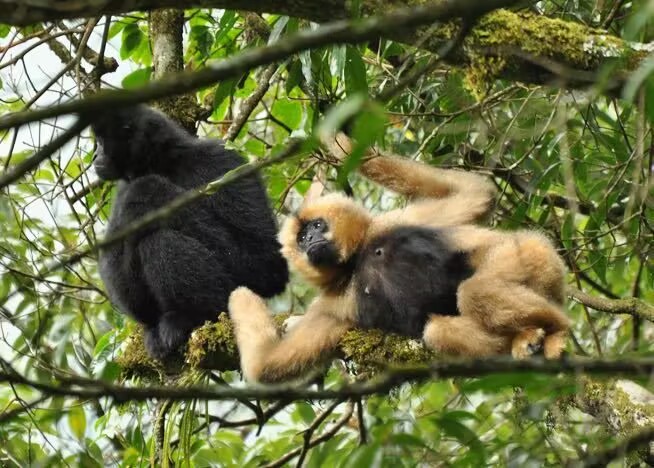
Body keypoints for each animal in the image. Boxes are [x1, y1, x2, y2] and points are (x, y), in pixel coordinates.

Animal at [91, 105, 289, 359]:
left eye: (100, 143)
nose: (95, 155)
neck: (163, 163)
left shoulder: (221, 161)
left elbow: (266, 264)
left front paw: (146, 191)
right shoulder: (122, 189)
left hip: (230, 296)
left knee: (160, 241)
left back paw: (185, 319)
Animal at [228, 133, 570, 383]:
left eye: (316, 226)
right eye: (300, 240)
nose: (310, 240)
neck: (357, 260)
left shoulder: (396, 222)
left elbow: (476, 193)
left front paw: (335, 138)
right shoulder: (332, 306)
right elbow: (265, 366)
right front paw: (240, 294)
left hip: (525, 251)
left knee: (476, 289)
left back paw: (557, 331)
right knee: (437, 330)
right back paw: (525, 337)